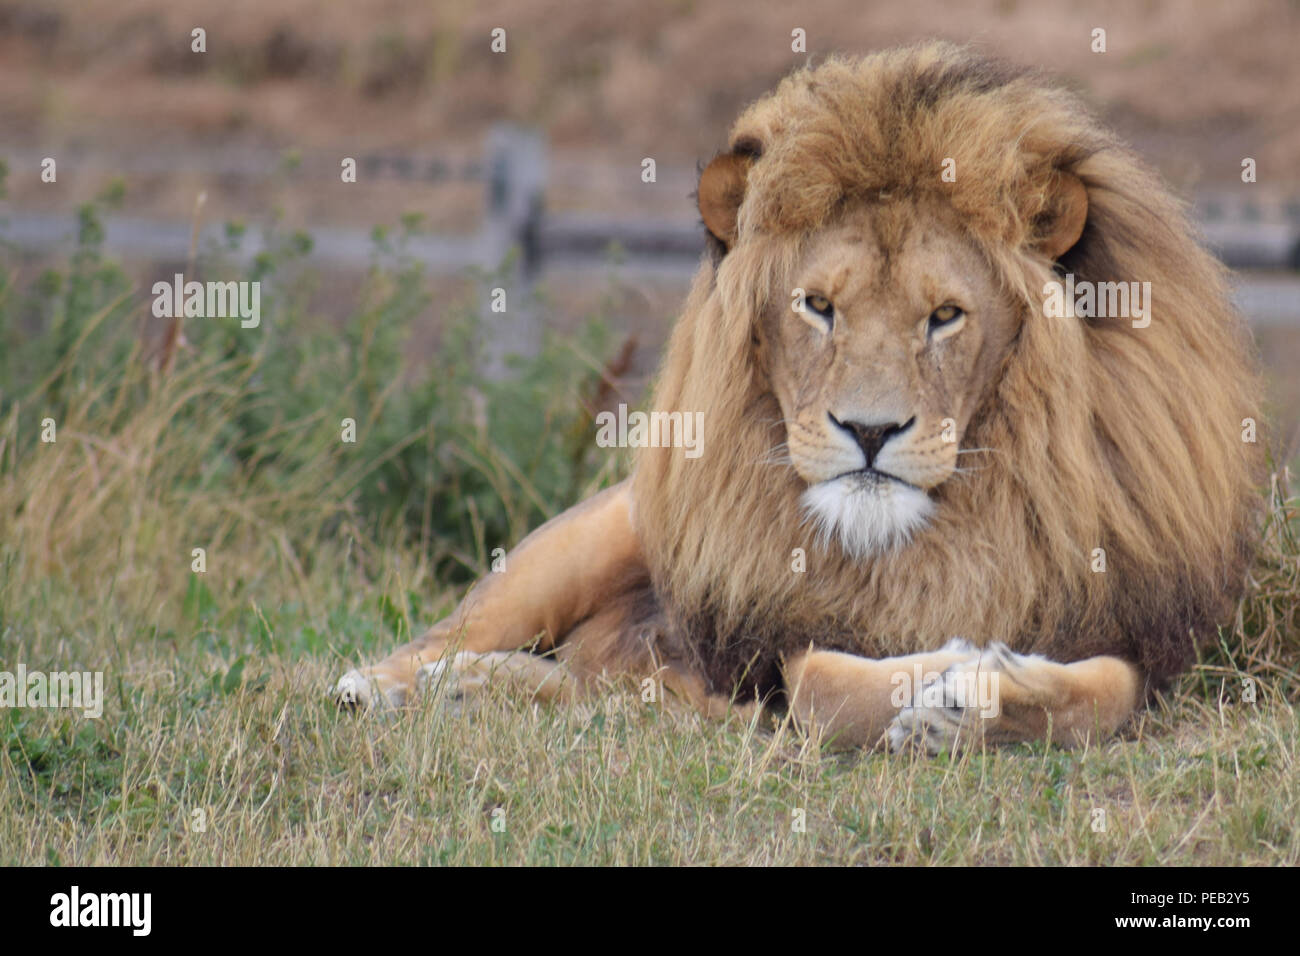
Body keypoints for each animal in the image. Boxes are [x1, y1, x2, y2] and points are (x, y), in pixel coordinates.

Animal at [335, 42, 1264, 752]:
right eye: (818, 306)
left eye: (945, 316)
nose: (869, 429)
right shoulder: (777, 658)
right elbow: (834, 689)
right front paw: (949, 685)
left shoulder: (1127, 643)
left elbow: (1098, 695)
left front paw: (976, 697)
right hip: (573, 547)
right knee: (433, 639)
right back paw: (386, 689)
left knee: (559, 680)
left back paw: (479, 688)